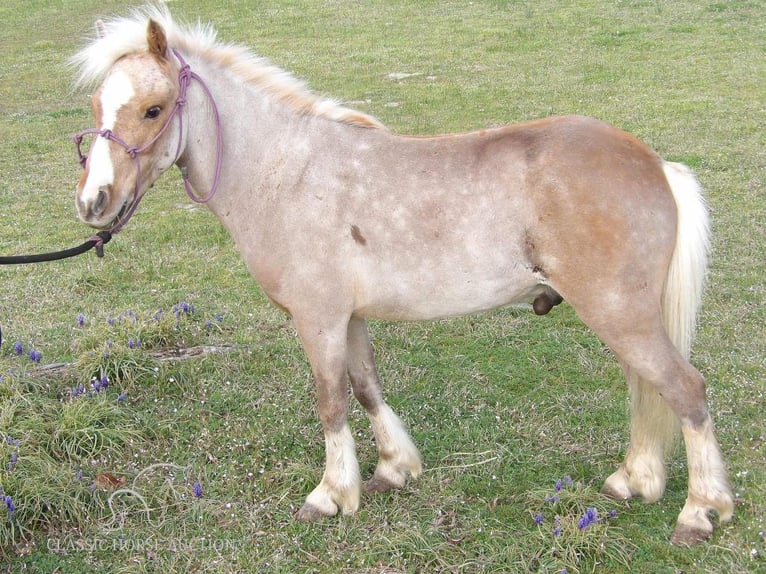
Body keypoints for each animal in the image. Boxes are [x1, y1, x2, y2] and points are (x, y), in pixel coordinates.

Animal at [70, 6, 732, 548]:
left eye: (153, 109)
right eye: (98, 109)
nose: (93, 202)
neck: (287, 175)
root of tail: (655, 164)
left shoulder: (318, 319)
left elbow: (331, 401)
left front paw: (331, 495)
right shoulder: (349, 317)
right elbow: (364, 388)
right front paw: (392, 470)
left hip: (620, 313)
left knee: (684, 391)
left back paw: (701, 511)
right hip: (625, 316)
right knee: (649, 390)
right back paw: (634, 481)